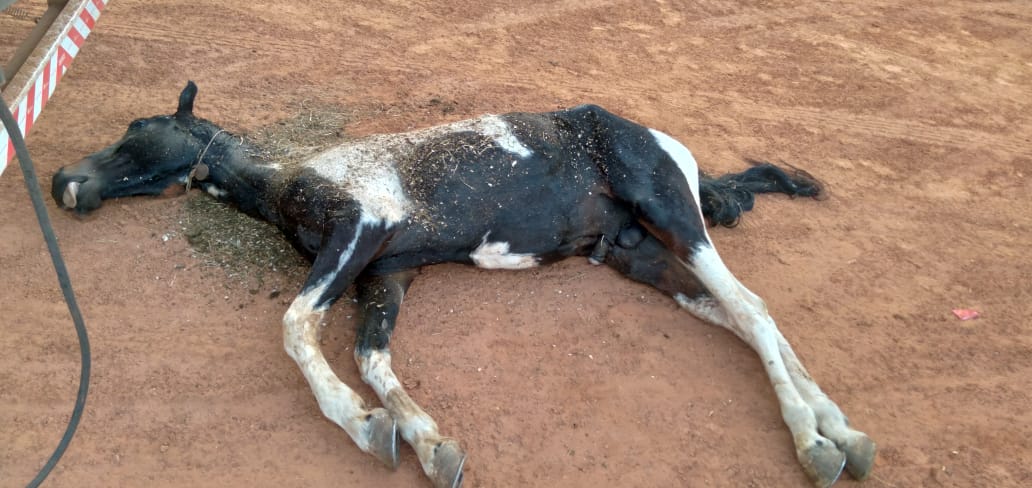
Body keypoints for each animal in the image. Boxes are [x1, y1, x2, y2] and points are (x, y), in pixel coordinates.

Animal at [52, 82, 875, 487]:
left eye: (138, 131)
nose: (65, 182)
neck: (289, 181)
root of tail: (676, 151)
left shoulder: (361, 230)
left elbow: (295, 328)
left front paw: (365, 424)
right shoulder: (386, 273)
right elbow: (373, 357)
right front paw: (419, 440)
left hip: (672, 211)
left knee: (752, 308)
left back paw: (814, 441)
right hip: (635, 252)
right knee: (737, 317)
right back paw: (843, 432)